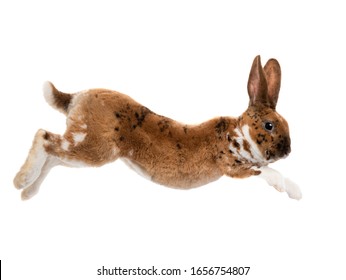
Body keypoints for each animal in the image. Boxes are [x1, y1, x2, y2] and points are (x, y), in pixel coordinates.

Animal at [12, 55, 300, 199]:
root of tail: (77, 97)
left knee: (53, 155)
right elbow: (266, 171)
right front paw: (294, 191)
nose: (287, 151)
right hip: (95, 148)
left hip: (83, 149)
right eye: (270, 125)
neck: (239, 133)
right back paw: (20, 181)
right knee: (44, 137)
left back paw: (28, 193)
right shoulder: (232, 165)